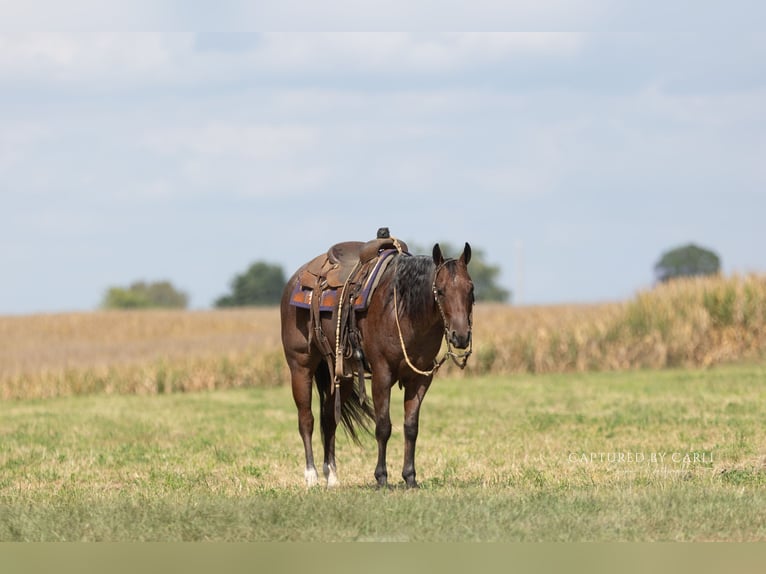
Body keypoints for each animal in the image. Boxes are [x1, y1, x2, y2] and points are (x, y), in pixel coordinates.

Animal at [280, 239, 474, 488]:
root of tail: (296, 279)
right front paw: (381, 477)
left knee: (329, 420)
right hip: (300, 367)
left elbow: (411, 427)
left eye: (471, 289)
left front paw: (410, 477)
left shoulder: (420, 378)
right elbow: (383, 426)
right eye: (440, 291)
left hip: (341, 374)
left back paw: (332, 477)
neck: (401, 310)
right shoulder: (382, 374)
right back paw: (311, 476)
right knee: (306, 419)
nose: (461, 336)